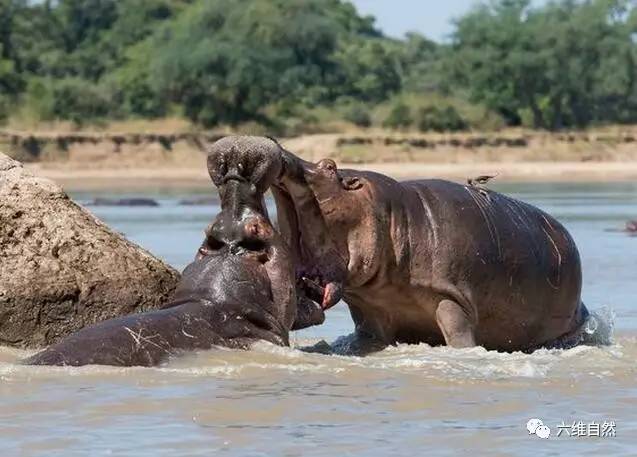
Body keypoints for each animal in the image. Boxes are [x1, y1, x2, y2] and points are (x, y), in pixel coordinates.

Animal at [207, 135, 592, 352]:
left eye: (329, 166)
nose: (276, 146)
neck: (395, 221)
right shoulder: (370, 311)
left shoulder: (452, 299)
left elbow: (460, 337)